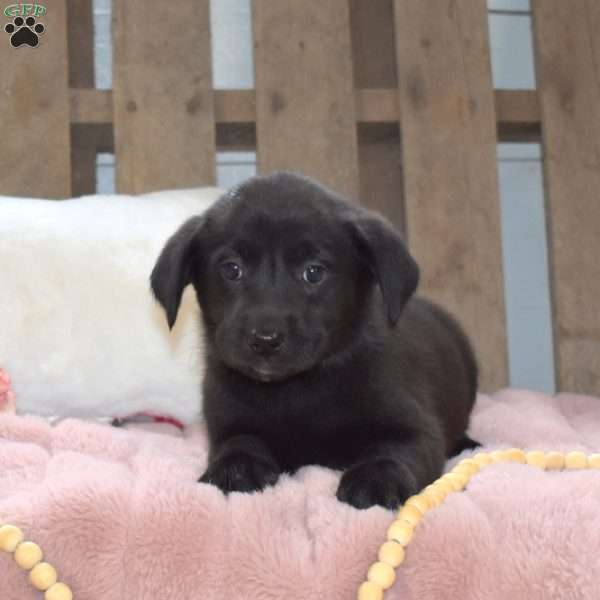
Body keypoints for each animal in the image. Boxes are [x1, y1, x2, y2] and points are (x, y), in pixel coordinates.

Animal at [151, 171, 478, 508]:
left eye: (313, 272)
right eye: (231, 269)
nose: (265, 339)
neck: (296, 390)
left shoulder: (417, 428)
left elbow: (394, 452)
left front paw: (376, 479)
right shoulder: (226, 422)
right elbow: (238, 442)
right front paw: (236, 469)